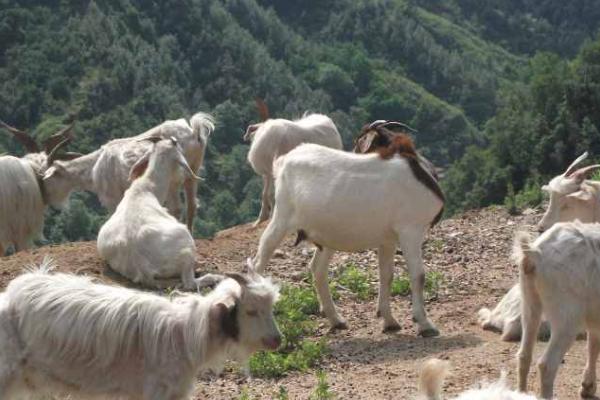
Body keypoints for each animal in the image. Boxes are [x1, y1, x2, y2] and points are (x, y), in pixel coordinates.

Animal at [41, 112, 213, 231]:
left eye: (47, 179)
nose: (46, 201)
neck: (95, 166)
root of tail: (194, 133)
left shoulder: (112, 198)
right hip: (192, 172)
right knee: (192, 205)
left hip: (173, 179)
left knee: (176, 208)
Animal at [97, 138, 219, 290]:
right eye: (177, 146)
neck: (145, 189)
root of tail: (142, 267)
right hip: (186, 246)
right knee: (189, 282)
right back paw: (212, 276)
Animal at [251, 121, 442, 334]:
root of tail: (283, 161)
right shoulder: (411, 230)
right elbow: (418, 275)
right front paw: (425, 324)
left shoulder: (388, 239)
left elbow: (387, 275)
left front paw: (389, 321)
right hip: (282, 217)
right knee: (259, 262)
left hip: (325, 234)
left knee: (317, 269)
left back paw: (336, 319)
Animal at [512, 222, 600, 400]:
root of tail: (534, 254)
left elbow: (593, 345)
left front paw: (587, 387)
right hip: (566, 317)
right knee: (547, 365)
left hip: (530, 302)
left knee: (524, 355)